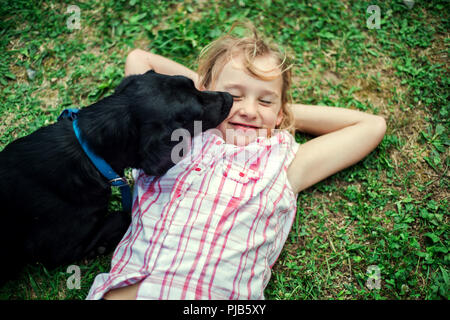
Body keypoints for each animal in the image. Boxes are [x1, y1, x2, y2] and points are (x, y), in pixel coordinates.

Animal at [0, 70, 232, 282]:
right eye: (197, 112)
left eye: (192, 83)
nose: (230, 97)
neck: (89, 152)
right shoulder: (58, 250)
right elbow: (123, 215)